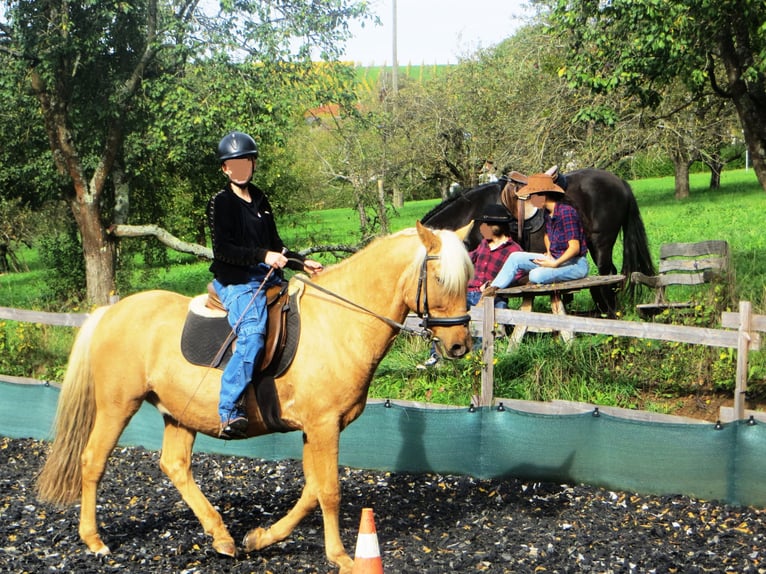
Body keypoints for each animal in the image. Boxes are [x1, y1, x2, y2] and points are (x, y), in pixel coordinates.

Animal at [39, 224, 476, 574]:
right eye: (440, 277)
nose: (459, 345)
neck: (339, 322)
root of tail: (109, 313)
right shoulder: (324, 426)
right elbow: (329, 490)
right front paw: (341, 557)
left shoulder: (314, 428)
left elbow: (312, 489)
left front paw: (260, 538)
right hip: (118, 405)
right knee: (93, 461)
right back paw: (94, 540)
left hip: (179, 413)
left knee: (175, 465)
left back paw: (221, 536)